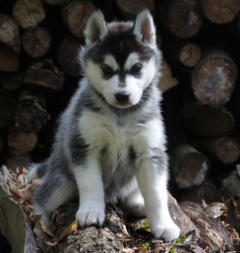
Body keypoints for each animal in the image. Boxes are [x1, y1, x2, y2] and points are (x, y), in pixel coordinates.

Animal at [28, 9, 180, 241]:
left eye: (137, 68)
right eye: (106, 69)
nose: (123, 96)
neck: (120, 115)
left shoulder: (150, 152)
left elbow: (156, 193)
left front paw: (164, 224)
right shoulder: (83, 145)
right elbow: (91, 183)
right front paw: (91, 211)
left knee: (131, 195)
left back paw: (139, 206)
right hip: (61, 182)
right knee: (41, 198)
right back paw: (40, 222)